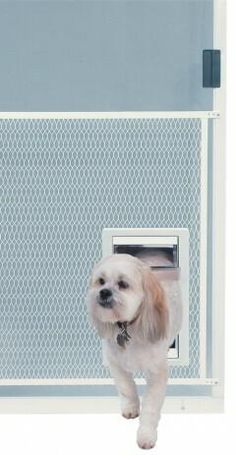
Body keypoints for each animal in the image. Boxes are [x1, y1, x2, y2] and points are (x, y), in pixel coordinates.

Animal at [87, 255, 183, 450]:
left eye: (123, 284)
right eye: (101, 281)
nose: (104, 292)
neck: (127, 326)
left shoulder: (157, 372)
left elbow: (151, 406)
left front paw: (146, 434)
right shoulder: (116, 363)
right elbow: (126, 387)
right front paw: (131, 407)